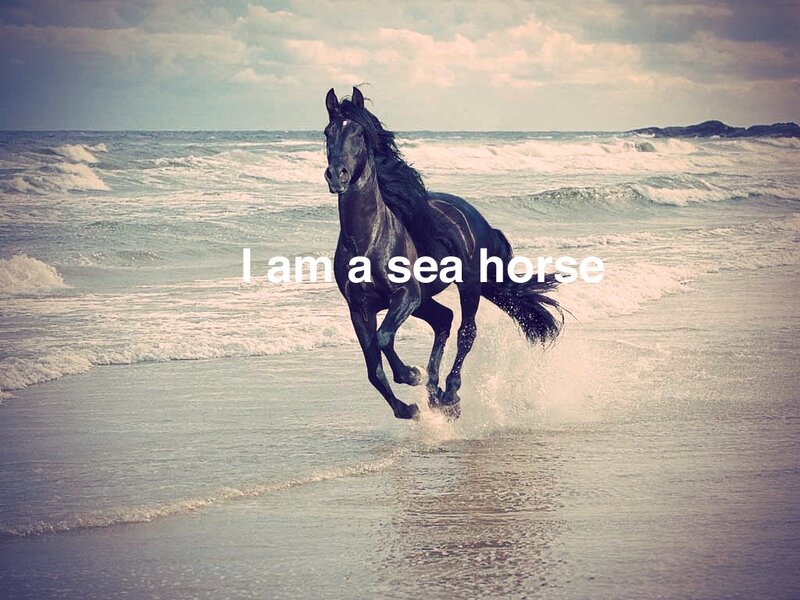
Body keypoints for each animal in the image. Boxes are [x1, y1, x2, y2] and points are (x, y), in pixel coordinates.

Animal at [324, 87, 562, 420]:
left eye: (359, 133)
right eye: (327, 132)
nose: (337, 176)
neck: (369, 240)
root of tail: (476, 218)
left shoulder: (406, 295)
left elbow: (384, 338)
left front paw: (411, 374)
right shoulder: (359, 309)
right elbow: (373, 369)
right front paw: (408, 408)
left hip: (467, 286)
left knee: (466, 331)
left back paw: (449, 393)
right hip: (425, 300)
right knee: (444, 320)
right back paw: (434, 392)